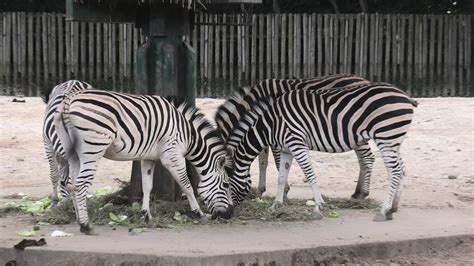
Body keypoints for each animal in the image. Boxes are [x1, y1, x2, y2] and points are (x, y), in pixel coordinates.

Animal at [53, 90, 233, 235]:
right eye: (225, 185)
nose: (230, 214)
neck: (189, 135)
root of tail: (70, 99)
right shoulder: (172, 156)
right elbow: (187, 185)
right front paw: (199, 214)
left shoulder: (148, 158)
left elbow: (147, 187)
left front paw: (147, 216)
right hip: (93, 149)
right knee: (80, 185)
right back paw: (86, 226)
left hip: (73, 154)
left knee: (72, 184)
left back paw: (79, 220)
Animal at [213, 74, 372, 197]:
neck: (253, 102)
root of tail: (365, 80)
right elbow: (263, 162)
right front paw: (260, 190)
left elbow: (277, 161)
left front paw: (284, 190)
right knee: (361, 158)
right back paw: (357, 192)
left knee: (366, 156)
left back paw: (363, 193)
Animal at [228, 82, 416, 220]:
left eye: (225, 184)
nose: (226, 214)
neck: (271, 123)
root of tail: (405, 96)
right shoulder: (286, 149)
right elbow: (281, 177)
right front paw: (276, 205)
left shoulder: (297, 143)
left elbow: (310, 175)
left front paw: (318, 206)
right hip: (393, 140)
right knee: (402, 170)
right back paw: (393, 208)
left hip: (386, 137)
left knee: (394, 171)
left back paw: (383, 211)